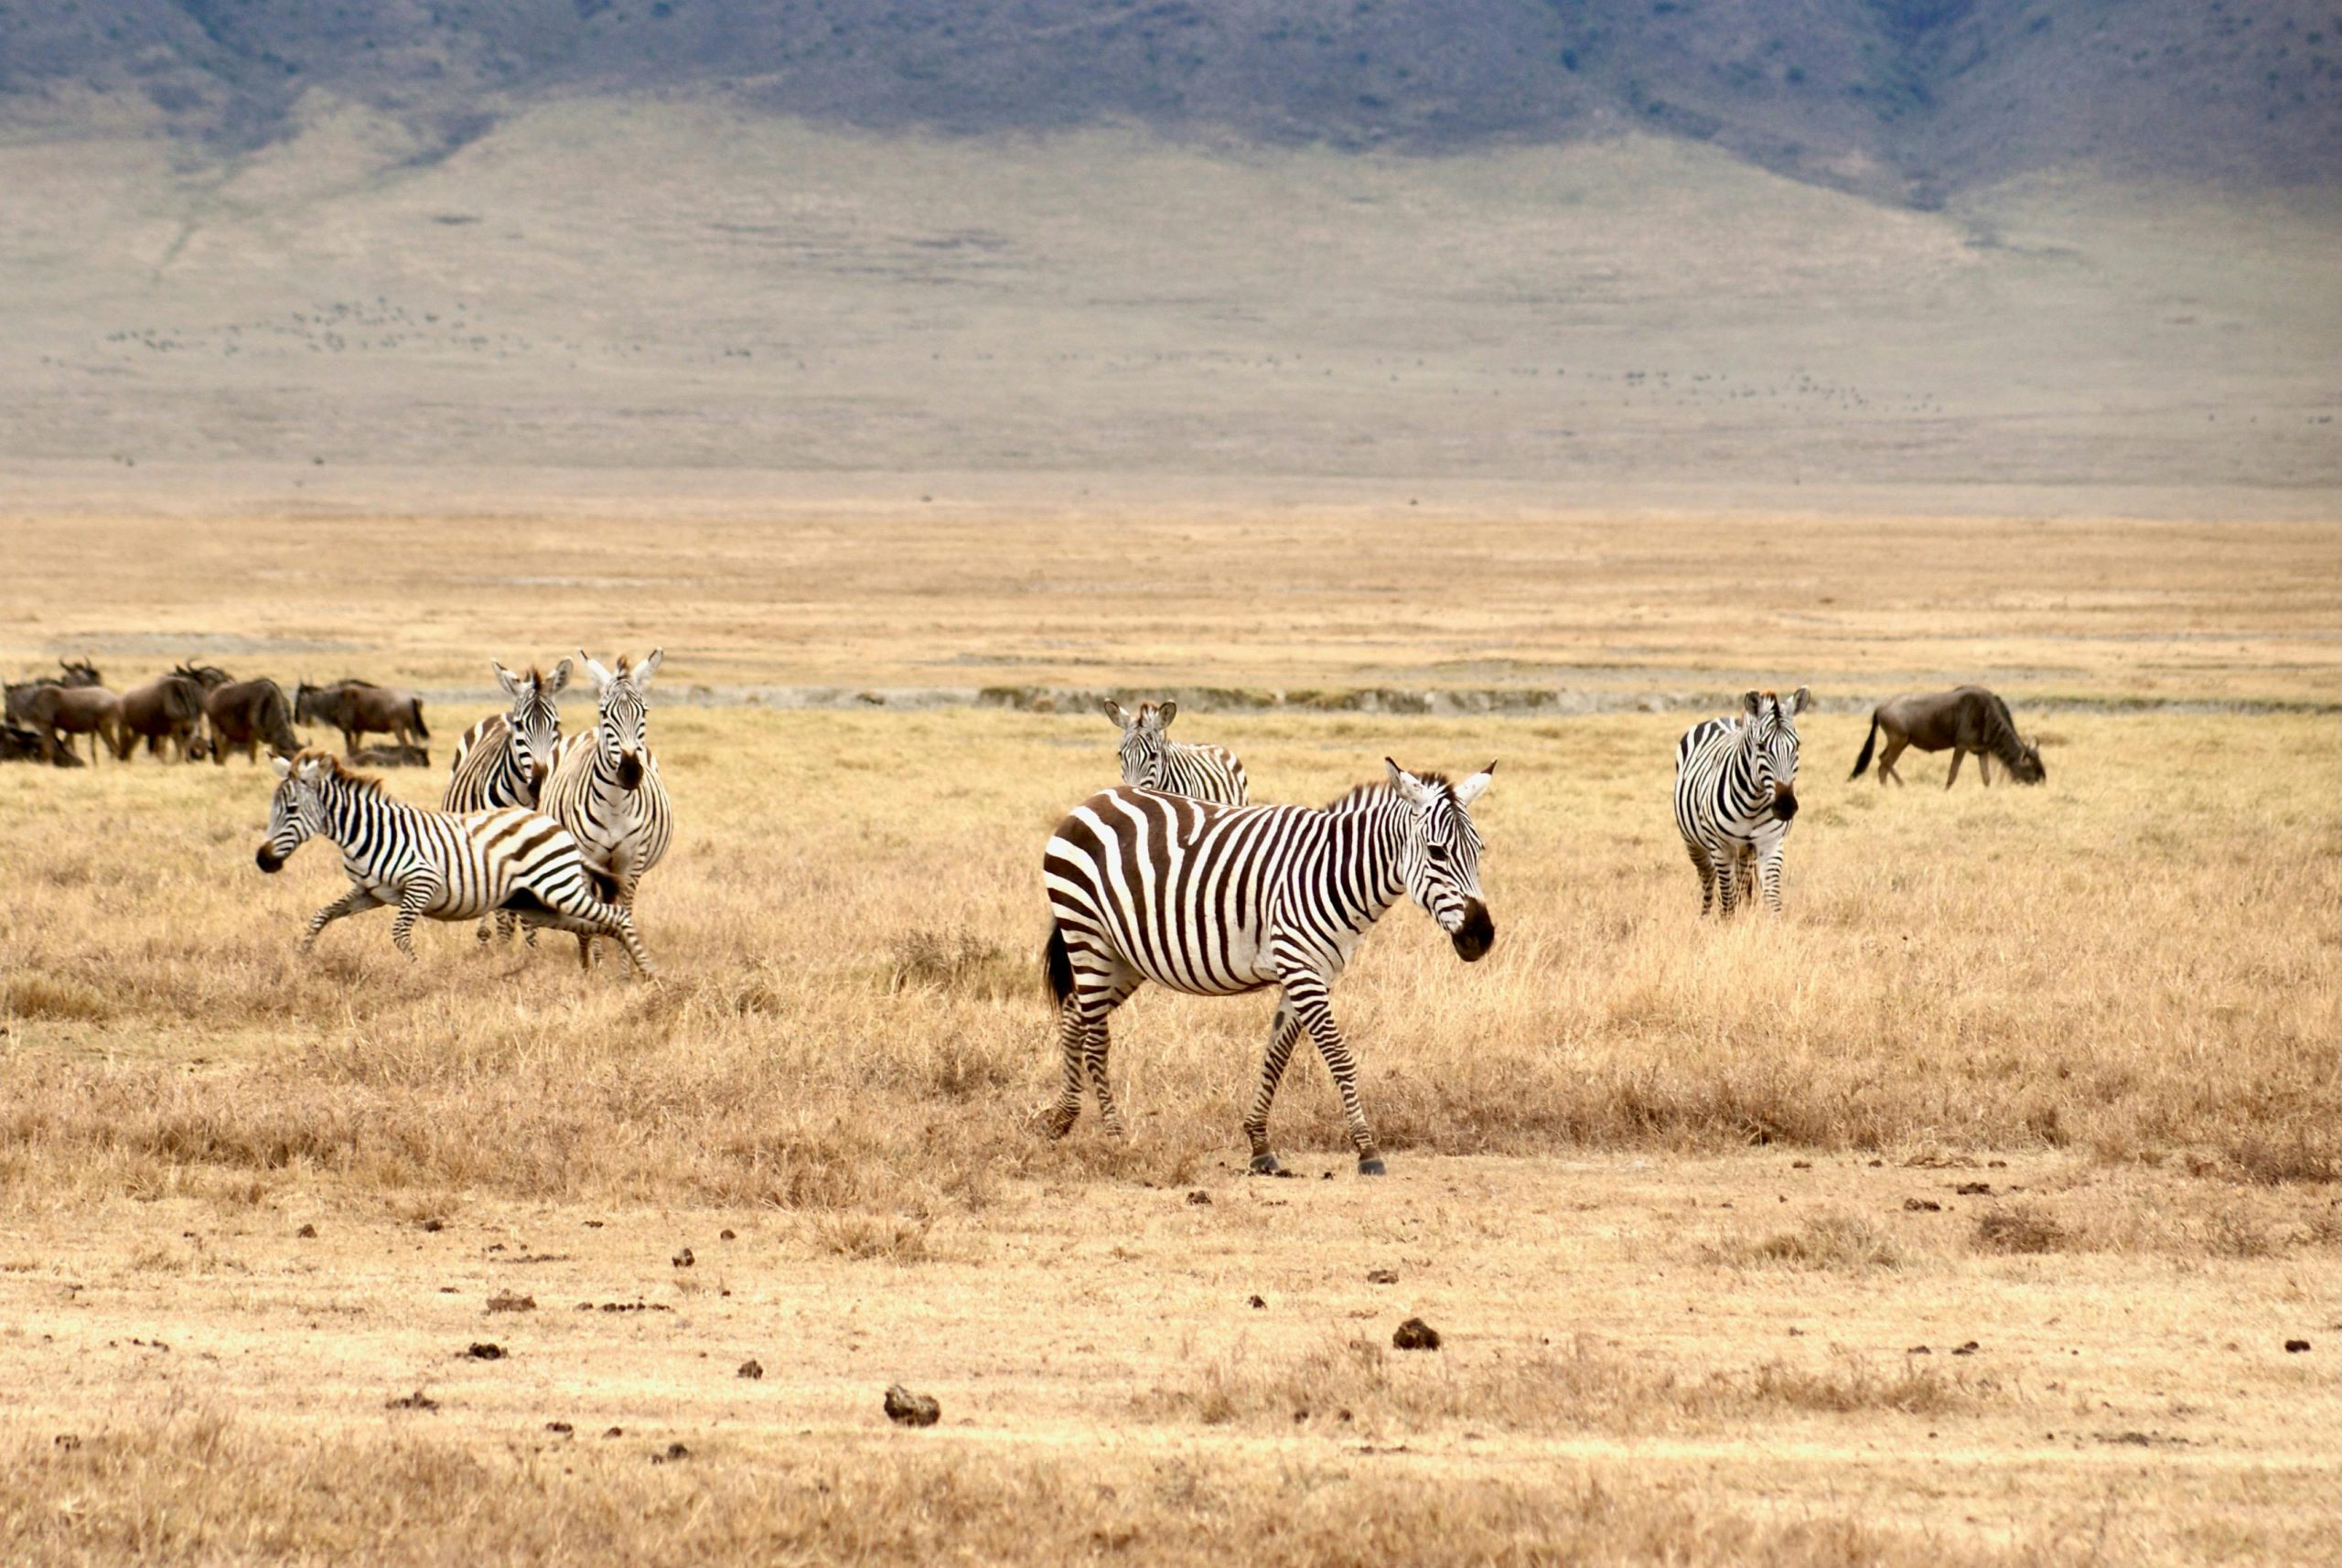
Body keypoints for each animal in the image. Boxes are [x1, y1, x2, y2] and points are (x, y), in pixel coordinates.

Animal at [256, 750, 655, 975]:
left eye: (292, 809)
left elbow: (400, 935)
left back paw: (648, 975)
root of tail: (552, 822)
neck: (367, 833)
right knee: (596, 925)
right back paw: (604, 970)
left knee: (616, 916)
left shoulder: (422, 881)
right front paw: (300, 960)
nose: (263, 861)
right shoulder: (368, 893)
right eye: (273, 808)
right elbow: (321, 916)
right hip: (534, 901)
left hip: (557, 887)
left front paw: (419, 973)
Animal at [445, 659, 573, 946]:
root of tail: (499, 714)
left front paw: (530, 945)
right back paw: (486, 936)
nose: (538, 784)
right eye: (520, 726)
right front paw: (503, 945)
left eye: (556, 725)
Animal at [540, 649, 672, 967]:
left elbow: (624, 910)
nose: (630, 772)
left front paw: (625, 966)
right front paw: (593, 963)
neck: (614, 805)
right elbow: (593, 912)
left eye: (644, 712)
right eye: (605, 713)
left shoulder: (631, 863)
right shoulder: (588, 859)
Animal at [1041, 758, 1496, 1176]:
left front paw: (1260, 1145)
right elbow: (1338, 1057)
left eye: (1479, 851)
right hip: (1088, 935)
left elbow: (1276, 1055)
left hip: (1124, 956)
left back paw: (1061, 1120)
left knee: (1074, 1015)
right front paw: (1367, 1150)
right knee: (1096, 1038)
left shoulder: (1314, 971)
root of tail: (1093, 800)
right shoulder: (1300, 966)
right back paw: (1115, 1136)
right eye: (1437, 852)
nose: (1482, 936)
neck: (1333, 873)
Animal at [1673, 687, 1809, 917]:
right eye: (1761, 746)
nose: (1786, 806)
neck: (1753, 804)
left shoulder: (1771, 843)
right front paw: (1728, 924)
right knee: (1708, 877)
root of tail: (1724, 719)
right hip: (1694, 842)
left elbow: (1773, 900)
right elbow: (1727, 902)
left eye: (1796, 745)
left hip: (1745, 850)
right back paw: (1704, 917)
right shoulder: (1721, 846)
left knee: (1742, 881)